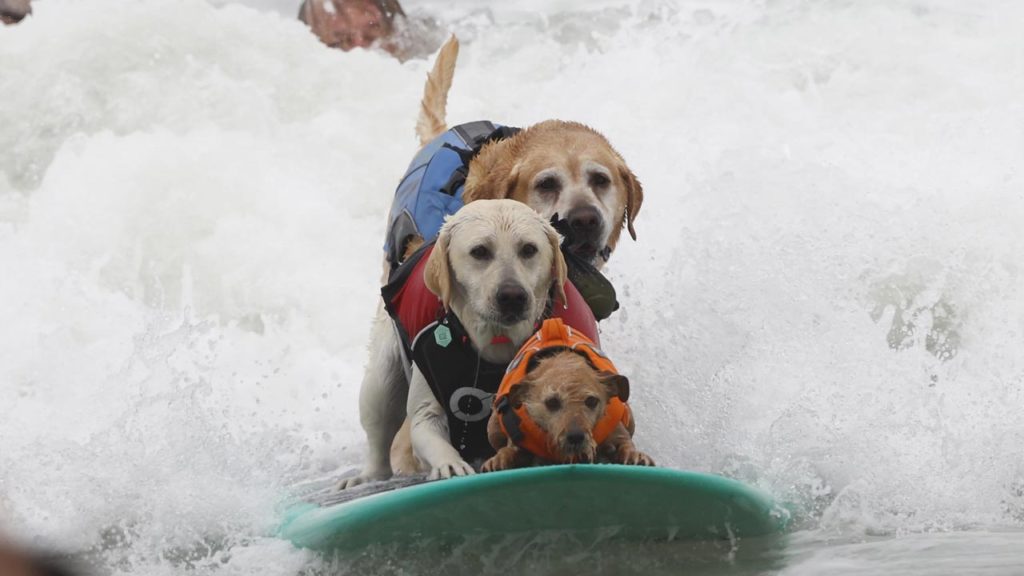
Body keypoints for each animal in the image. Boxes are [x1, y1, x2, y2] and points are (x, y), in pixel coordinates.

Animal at [481, 315, 655, 469]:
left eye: (592, 401)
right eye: (552, 402)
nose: (576, 437)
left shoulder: (617, 432)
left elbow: (626, 443)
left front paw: (634, 455)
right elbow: (509, 450)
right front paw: (500, 459)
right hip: (493, 426)